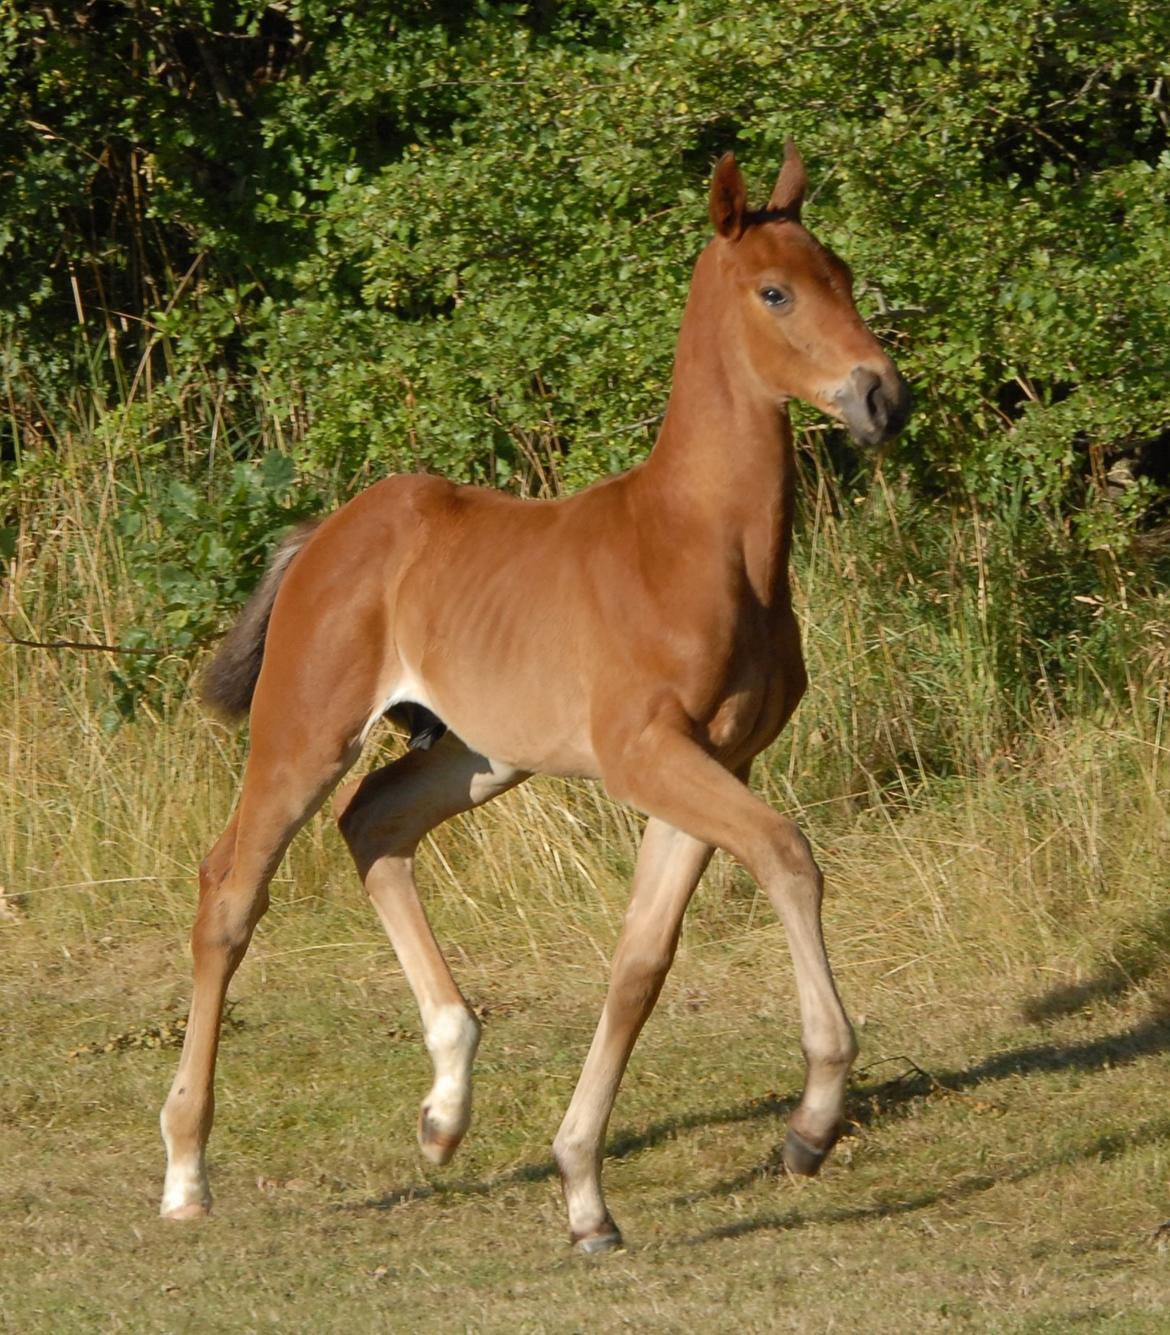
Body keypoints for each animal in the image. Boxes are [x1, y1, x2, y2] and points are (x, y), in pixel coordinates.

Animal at [162, 146, 913, 1249]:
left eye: (845, 275)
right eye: (775, 292)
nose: (881, 398)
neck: (697, 542)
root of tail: (326, 535)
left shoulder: (711, 761)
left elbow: (641, 962)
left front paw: (583, 1190)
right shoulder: (650, 754)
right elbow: (788, 854)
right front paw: (812, 1123)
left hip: (478, 755)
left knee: (374, 823)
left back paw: (445, 1104)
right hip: (306, 733)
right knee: (231, 888)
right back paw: (186, 1168)